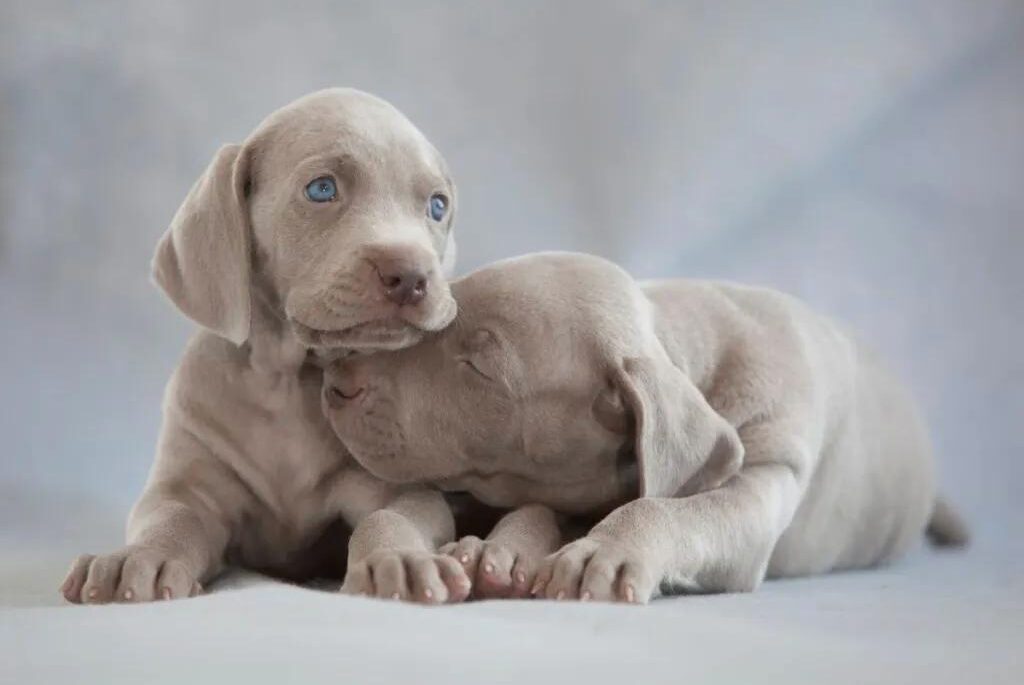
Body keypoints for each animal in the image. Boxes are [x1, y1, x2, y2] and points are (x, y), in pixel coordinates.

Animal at [64, 89, 475, 602]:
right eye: (322, 189)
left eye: (437, 207)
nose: (413, 276)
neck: (287, 382)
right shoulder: (186, 484)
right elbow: (173, 517)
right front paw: (139, 559)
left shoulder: (402, 486)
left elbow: (391, 515)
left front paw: (400, 560)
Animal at [321, 252, 966, 602]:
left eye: (479, 366)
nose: (334, 378)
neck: (688, 348)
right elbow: (535, 508)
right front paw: (495, 552)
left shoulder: (769, 467)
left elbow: (669, 508)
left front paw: (604, 551)